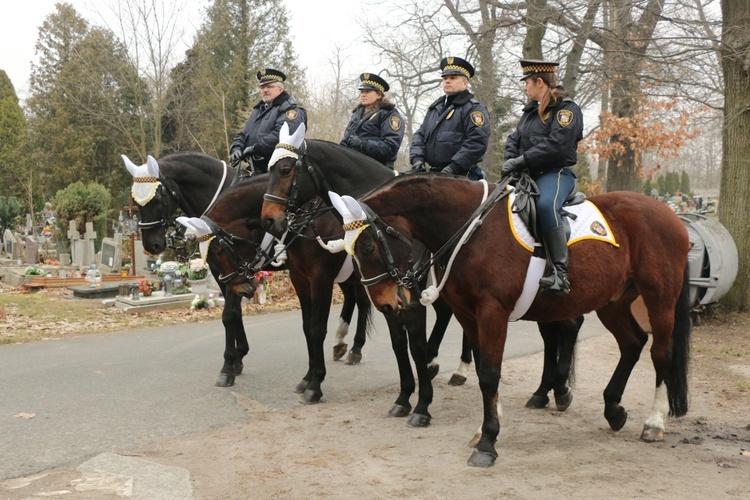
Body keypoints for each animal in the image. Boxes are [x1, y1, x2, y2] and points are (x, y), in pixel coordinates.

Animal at [124, 152, 376, 386]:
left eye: (157, 198)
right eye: (136, 202)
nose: (151, 245)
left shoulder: (239, 270)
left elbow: (229, 315)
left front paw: (228, 365)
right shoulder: (226, 274)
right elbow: (234, 314)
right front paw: (238, 357)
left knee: (361, 299)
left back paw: (355, 348)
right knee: (354, 298)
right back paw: (341, 342)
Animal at [332, 174, 696, 466]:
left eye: (367, 246)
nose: (385, 304)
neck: (471, 229)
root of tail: (673, 216)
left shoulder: (492, 312)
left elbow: (490, 374)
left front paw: (487, 442)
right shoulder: (467, 314)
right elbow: (482, 369)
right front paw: (484, 427)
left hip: (659, 299)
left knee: (660, 353)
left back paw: (654, 422)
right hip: (613, 301)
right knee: (633, 343)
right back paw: (613, 409)